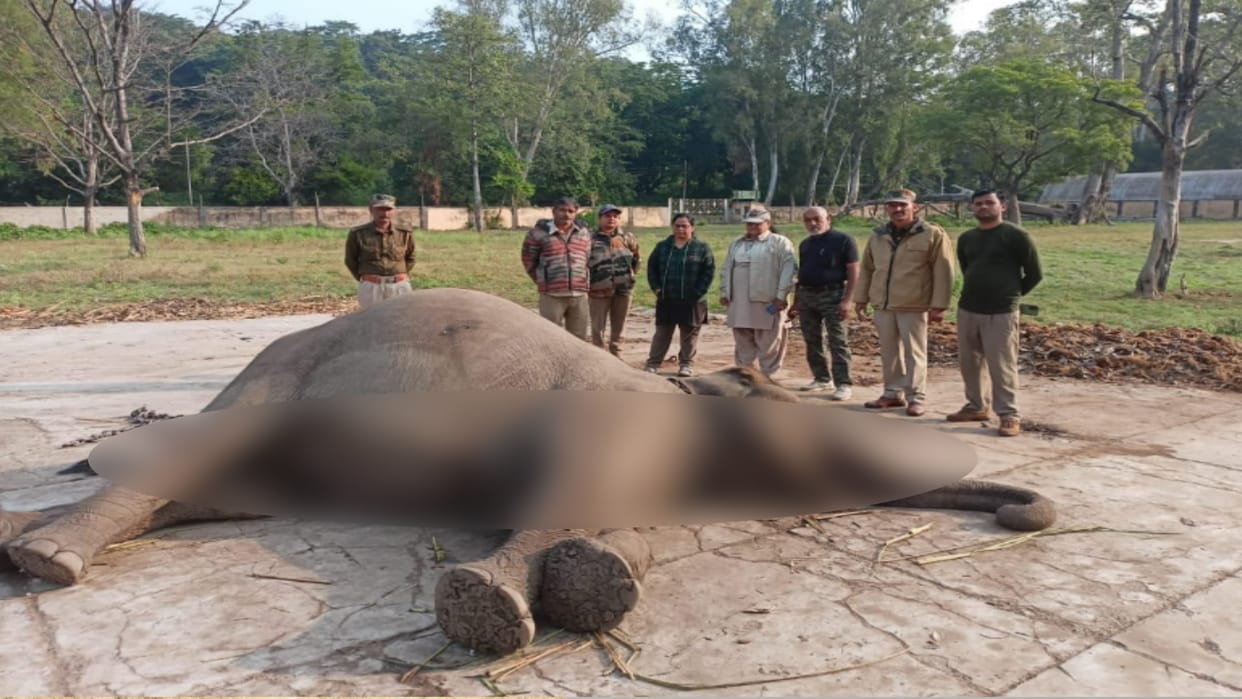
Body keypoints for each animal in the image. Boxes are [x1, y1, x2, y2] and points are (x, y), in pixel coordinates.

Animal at [0, 288, 1056, 656]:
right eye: (813, 423)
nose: (1022, 516)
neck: (681, 394)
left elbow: (630, 524)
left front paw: (602, 580)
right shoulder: (607, 420)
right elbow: (564, 490)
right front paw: (492, 611)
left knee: (195, 489)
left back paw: (22, 549)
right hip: (270, 388)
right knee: (177, 461)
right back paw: (49, 564)